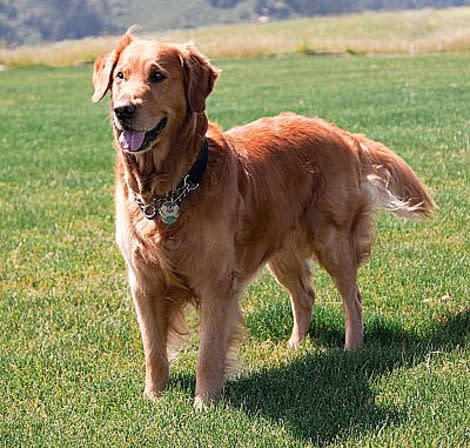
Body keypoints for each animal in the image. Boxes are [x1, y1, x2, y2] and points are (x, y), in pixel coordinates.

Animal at [91, 27, 434, 406]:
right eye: (120, 76)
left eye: (157, 76)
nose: (123, 110)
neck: (171, 187)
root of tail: (341, 132)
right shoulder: (143, 283)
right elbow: (153, 349)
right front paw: (154, 397)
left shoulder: (216, 283)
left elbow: (208, 352)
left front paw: (204, 402)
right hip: (280, 250)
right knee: (305, 295)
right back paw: (296, 345)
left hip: (332, 240)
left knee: (352, 297)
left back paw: (352, 348)